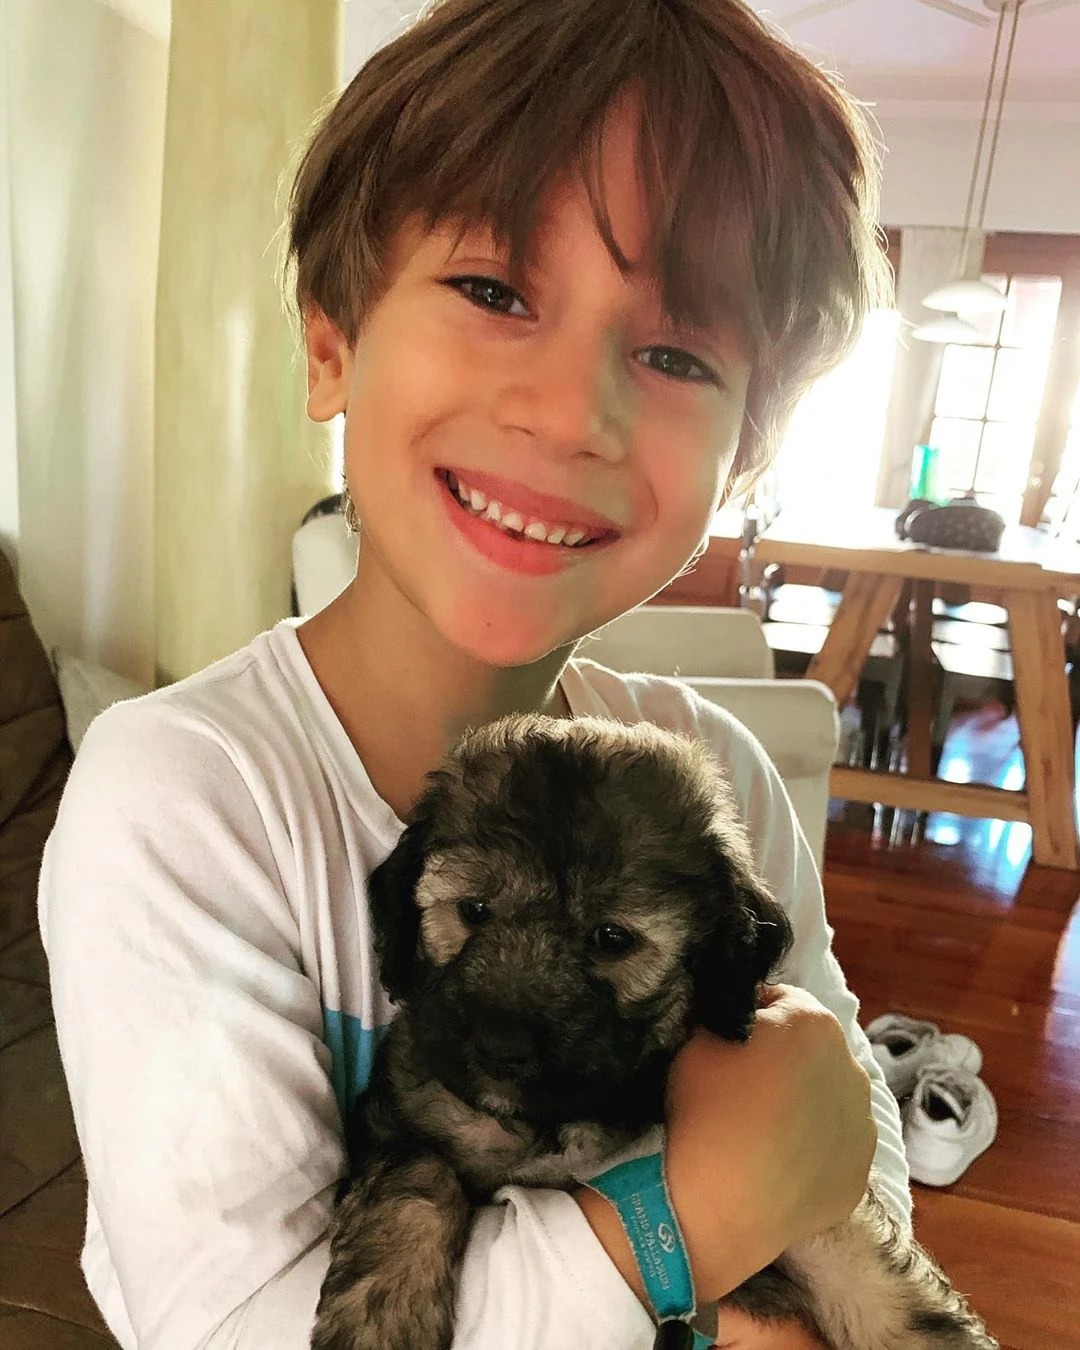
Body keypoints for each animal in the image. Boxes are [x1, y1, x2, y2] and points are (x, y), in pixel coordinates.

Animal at [312, 714, 997, 1350]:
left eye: (612, 937)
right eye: (473, 911)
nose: (501, 1049)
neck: (558, 1124)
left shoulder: (814, 1207)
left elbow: (867, 1268)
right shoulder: (400, 1113)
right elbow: (417, 1173)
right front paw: (378, 1319)